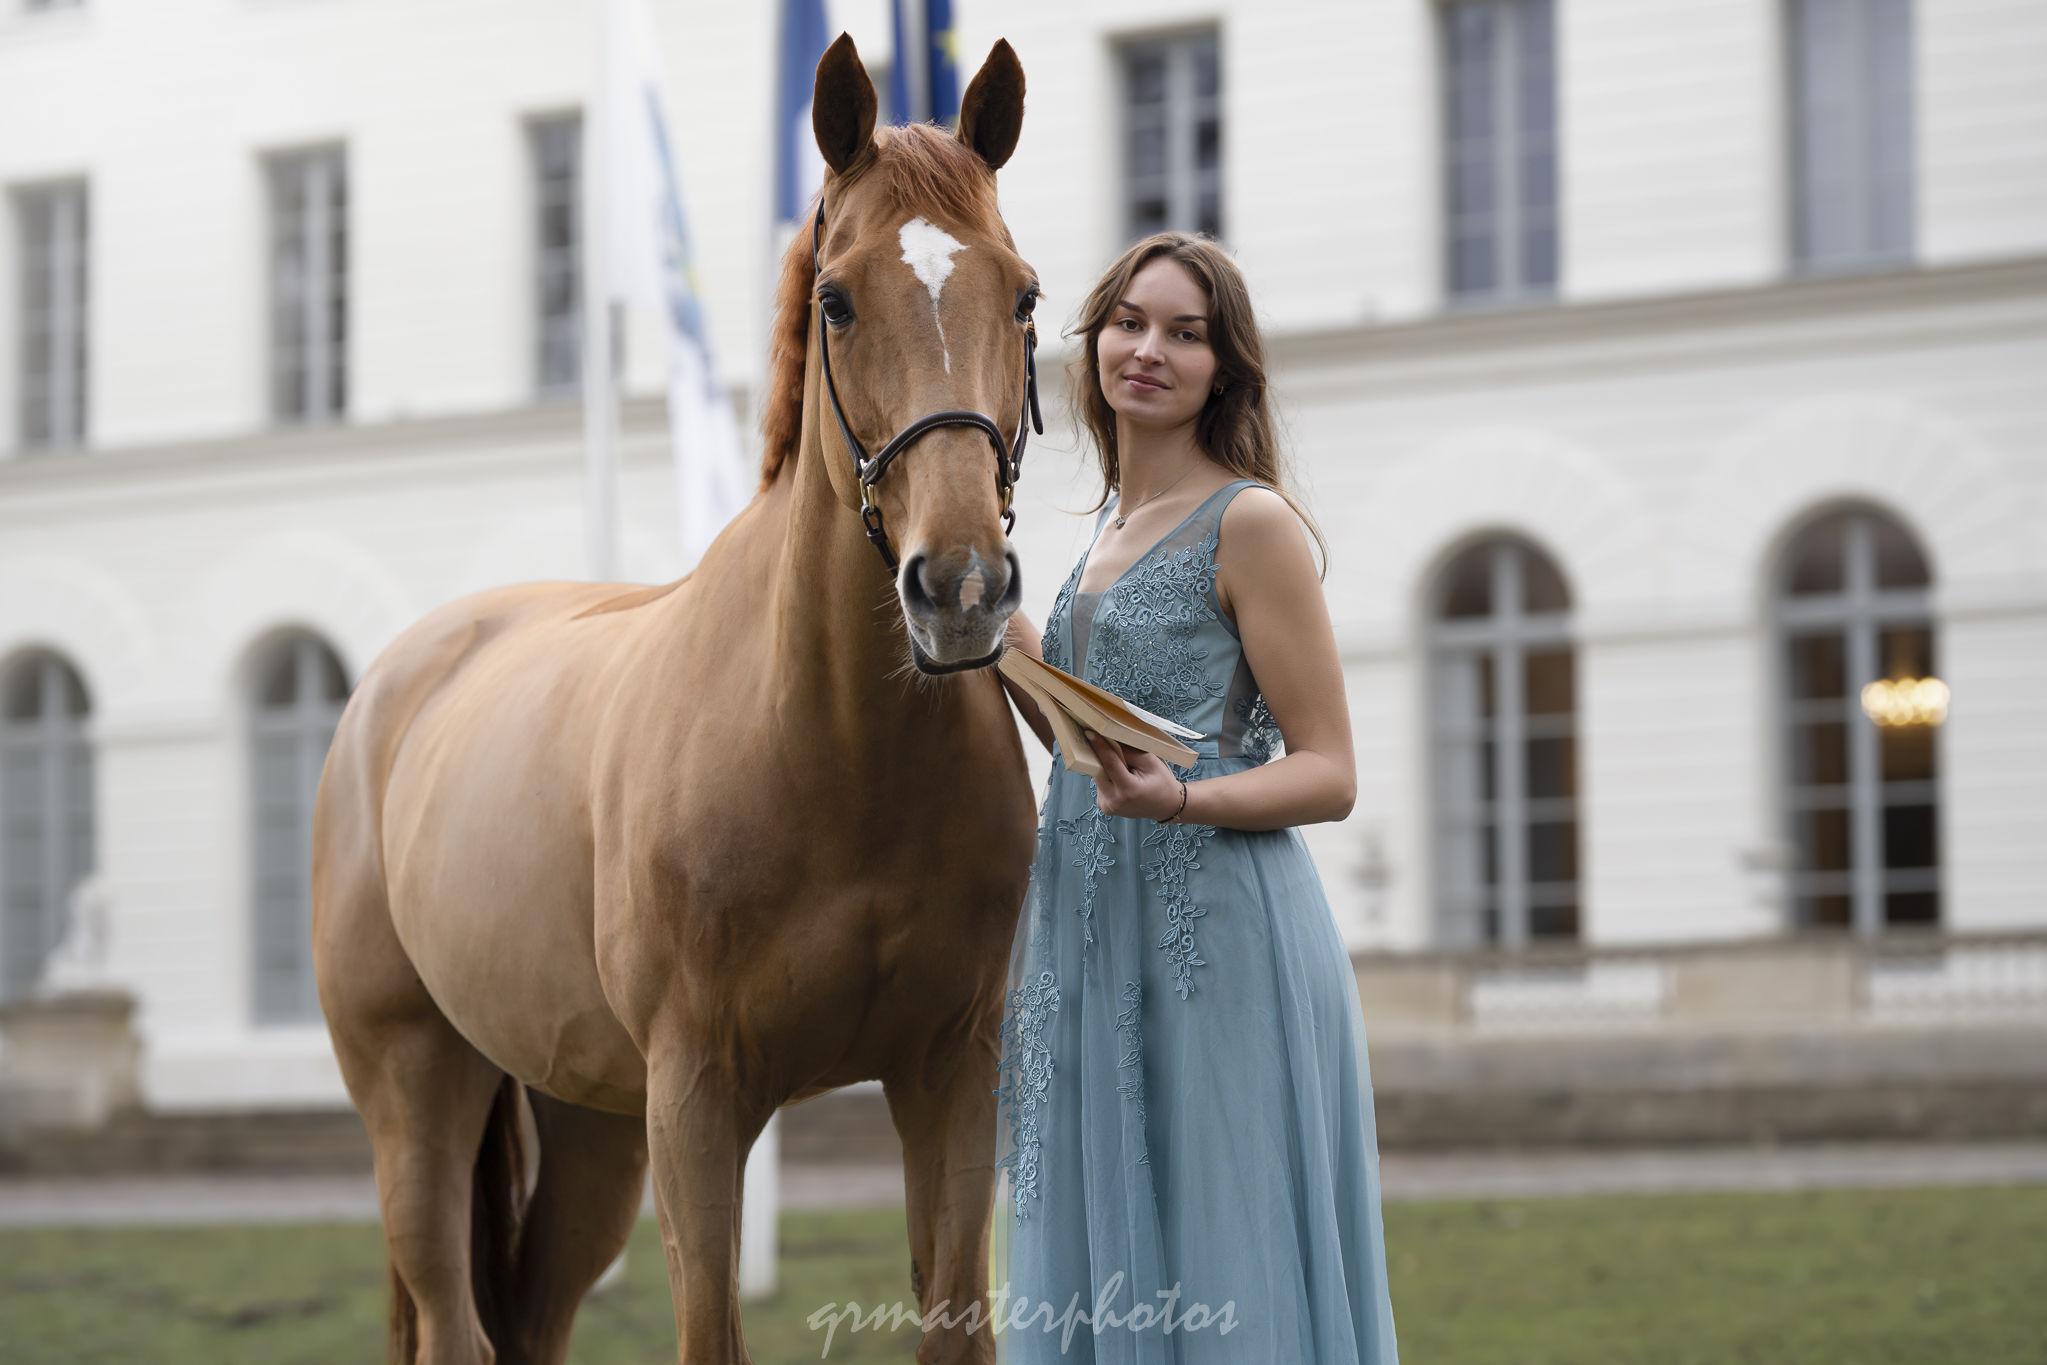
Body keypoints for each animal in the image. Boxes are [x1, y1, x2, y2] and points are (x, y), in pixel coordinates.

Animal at [311, 36, 1038, 1364]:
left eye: (1022, 296)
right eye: (837, 301)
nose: (959, 586)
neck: (831, 755)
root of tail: (392, 688)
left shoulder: (952, 1074)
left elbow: (954, 1321)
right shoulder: (699, 1101)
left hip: (590, 1126)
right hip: (418, 1097)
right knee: (457, 1322)